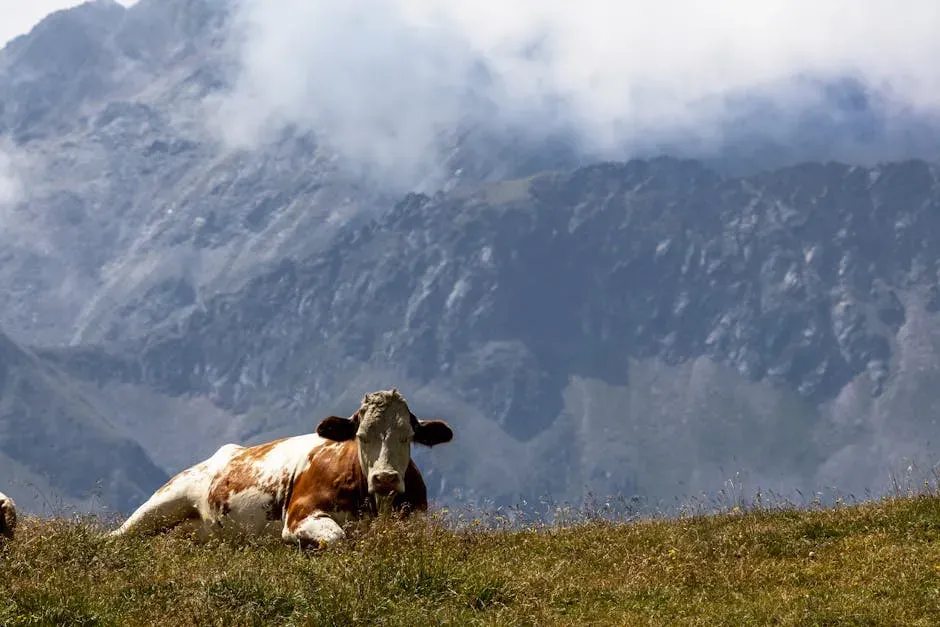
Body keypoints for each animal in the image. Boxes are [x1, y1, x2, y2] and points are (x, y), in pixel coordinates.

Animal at [108, 389, 453, 548]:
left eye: (407, 436)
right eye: (361, 436)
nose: (384, 478)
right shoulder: (301, 513)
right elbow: (338, 538)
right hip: (165, 499)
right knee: (118, 535)